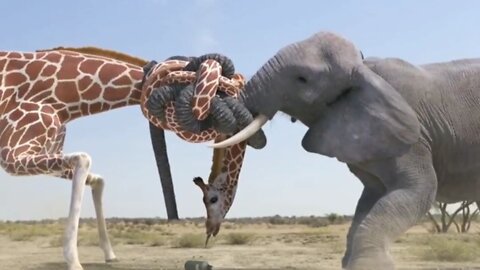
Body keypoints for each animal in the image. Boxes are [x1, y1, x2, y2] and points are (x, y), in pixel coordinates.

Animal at [0, 47, 248, 268]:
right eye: (211, 199)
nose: (212, 228)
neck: (65, 98)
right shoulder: (12, 154)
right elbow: (83, 159)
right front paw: (74, 261)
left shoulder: (45, 152)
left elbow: (98, 179)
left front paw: (109, 254)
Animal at [212, 30, 480, 268]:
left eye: (302, 79)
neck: (363, 69)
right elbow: (369, 200)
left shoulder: (414, 137)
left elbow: (418, 189)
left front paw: (372, 265)